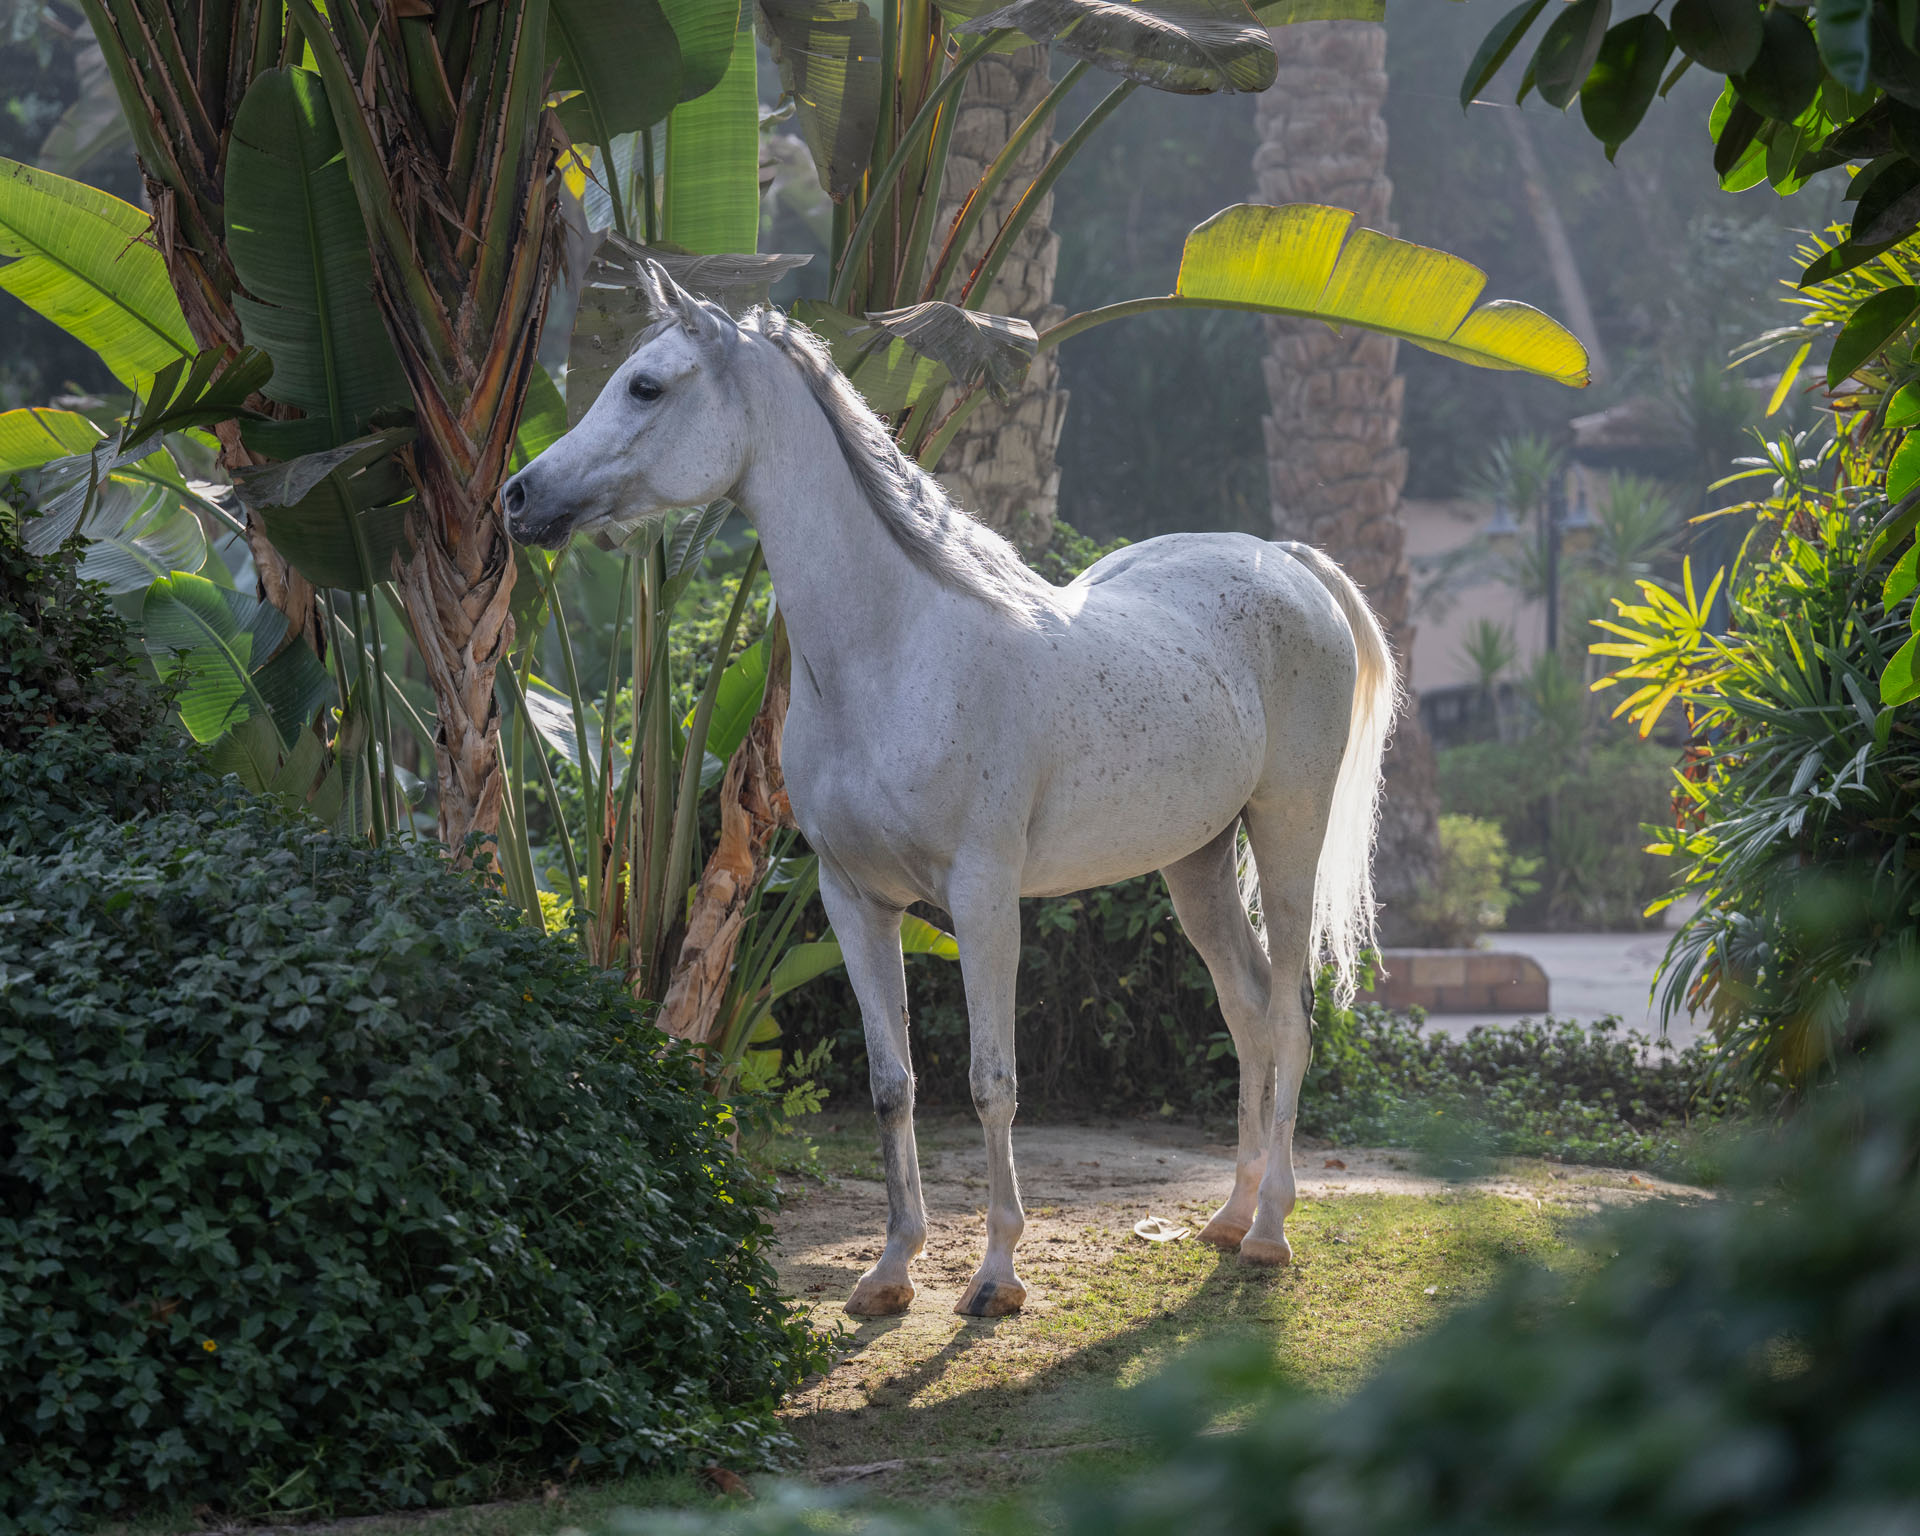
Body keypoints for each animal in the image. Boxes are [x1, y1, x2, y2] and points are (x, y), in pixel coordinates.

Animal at [503, 263, 1396, 1319]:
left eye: (646, 385)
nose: (519, 496)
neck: (895, 653)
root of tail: (1286, 561)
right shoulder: (855, 901)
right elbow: (894, 1083)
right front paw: (891, 1271)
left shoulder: (981, 898)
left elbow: (990, 1080)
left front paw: (997, 1274)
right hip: (1198, 863)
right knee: (1248, 1009)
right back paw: (1227, 1215)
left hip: (1287, 832)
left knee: (1291, 1013)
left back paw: (1268, 1233)